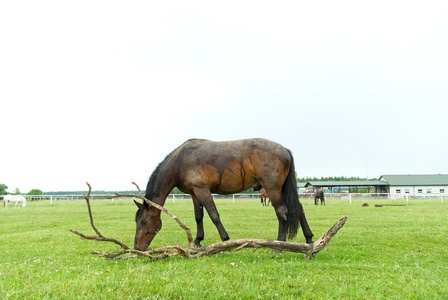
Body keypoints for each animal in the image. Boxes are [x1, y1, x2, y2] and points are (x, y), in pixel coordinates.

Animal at [135, 138, 314, 251]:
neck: (179, 161)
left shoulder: (202, 190)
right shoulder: (194, 193)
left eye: (144, 221)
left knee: (282, 212)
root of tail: (285, 150)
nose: (137, 247)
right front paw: (198, 241)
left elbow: (214, 215)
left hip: (273, 190)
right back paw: (309, 239)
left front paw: (225, 240)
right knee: (299, 209)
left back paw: (278, 247)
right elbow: (199, 217)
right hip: (281, 189)